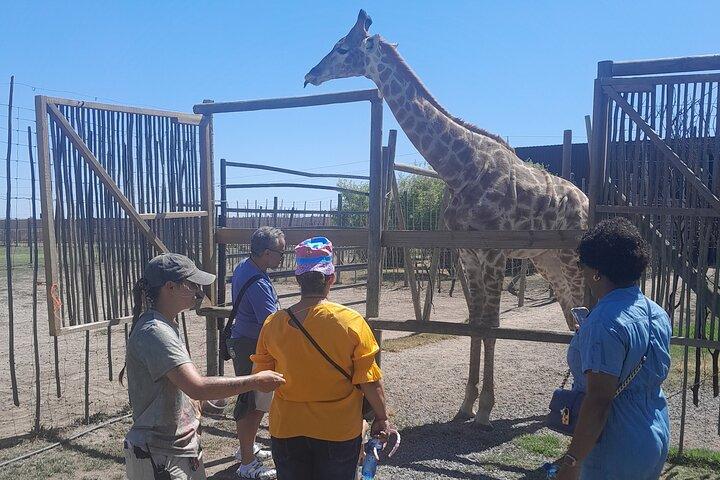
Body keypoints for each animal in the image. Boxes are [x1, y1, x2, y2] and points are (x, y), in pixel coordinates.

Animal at [305, 10, 587, 428]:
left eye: (342, 47)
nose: (310, 74)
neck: (460, 168)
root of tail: (587, 202)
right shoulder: (467, 254)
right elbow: (474, 325)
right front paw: (466, 404)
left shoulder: (493, 255)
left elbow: (491, 326)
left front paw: (485, 408)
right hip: (547, 261)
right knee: (573, 317)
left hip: (572, 260)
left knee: (583, 315)